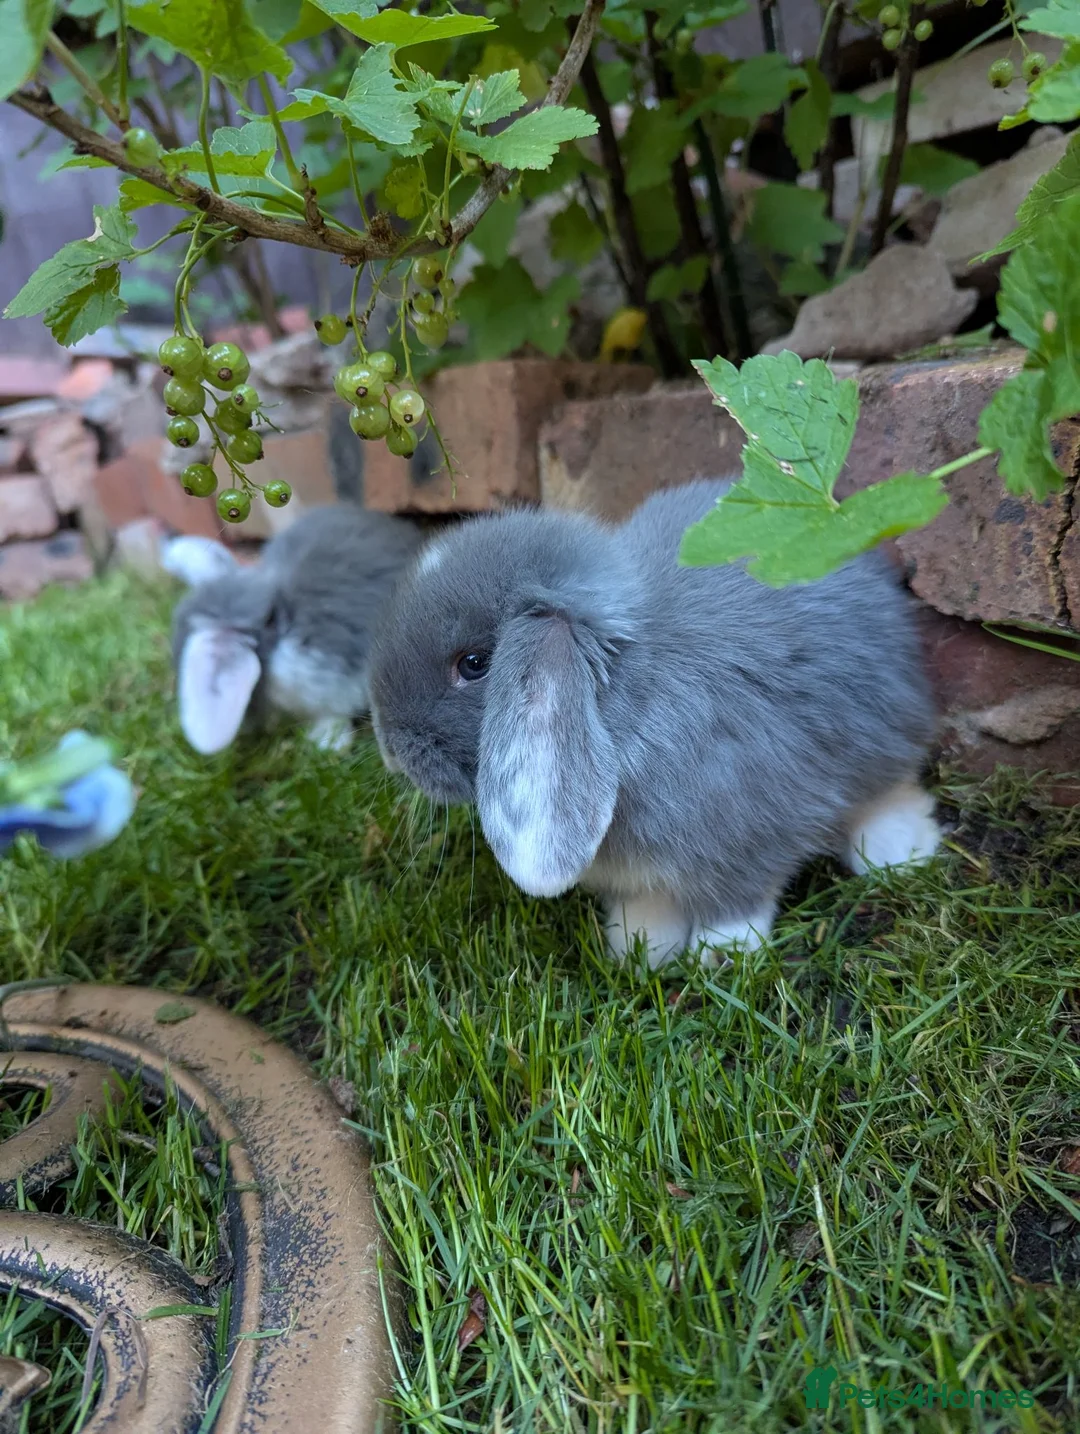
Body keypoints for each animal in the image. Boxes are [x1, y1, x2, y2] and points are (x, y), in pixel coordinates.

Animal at [368, 477, 941, 967]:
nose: (390, 748)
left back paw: (901, 853)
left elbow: (738, 896)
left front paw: (722, 955)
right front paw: (640, 951)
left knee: (890, 788)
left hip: (879, 729)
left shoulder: (749, 823)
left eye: (474, 664)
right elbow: (649, 905)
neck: (623, 693)